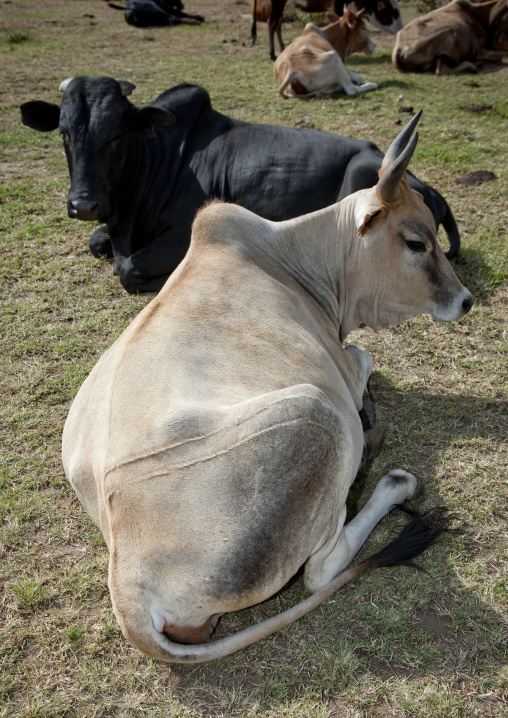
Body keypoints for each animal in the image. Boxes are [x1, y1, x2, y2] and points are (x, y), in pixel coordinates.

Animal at [20, 78, 460, 295]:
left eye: (116, 136)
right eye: (64, 133)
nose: (84, 204)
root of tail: (427, 189)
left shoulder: (179, 234)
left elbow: (128, 269)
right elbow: (98, 244)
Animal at [62, 114, 472, 663]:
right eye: (415, 242)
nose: (465, 300)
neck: (295, 258)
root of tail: (128, 584)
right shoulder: (341, 371)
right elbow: (365, 357)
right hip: (316, 413)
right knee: (320, 570)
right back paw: (389, 478)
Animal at [250, 0, 403, 60]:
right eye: (394, 12)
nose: (401, 29)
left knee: (277, 24)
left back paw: (282, 48)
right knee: (272, 23)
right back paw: (272, 53)